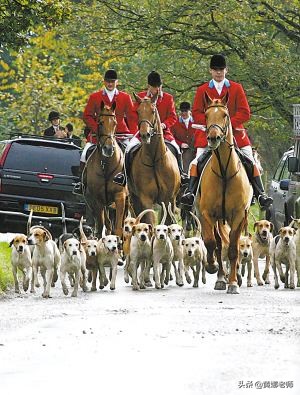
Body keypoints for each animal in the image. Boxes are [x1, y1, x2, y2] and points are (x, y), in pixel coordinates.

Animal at [84, 103, 127, 238]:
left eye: (115, 123)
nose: (108, 149)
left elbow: (118, 229)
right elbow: (102, 226)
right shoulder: (98, 200)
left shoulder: (120, 196)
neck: (106, 165)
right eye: (100, 122)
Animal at [129, 94, 180, 226]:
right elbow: (149, 222)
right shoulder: (146, 199)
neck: (154, 160)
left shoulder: (169, 199)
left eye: (153, 111)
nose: (144, 135)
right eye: (138, 111)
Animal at [196, 93, 252, 296]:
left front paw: (234, 282)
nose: (213, 137)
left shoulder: (238, 215)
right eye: (206, 115)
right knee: (219, 244)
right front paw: (212, 267)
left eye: (225, 115)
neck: (224, 171)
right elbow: (211, 243)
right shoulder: (206, 214)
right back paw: (221, 277)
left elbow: (234, 249)